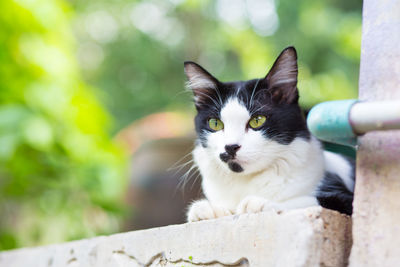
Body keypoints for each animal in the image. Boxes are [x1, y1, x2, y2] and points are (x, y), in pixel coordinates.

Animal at [183, 47, 354, 223]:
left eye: (257, 121)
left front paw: (259, 203)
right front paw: (208, 209)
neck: (245, 182)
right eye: (215, 124)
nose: (230, 147)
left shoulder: (344, 197)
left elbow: (307, 200)